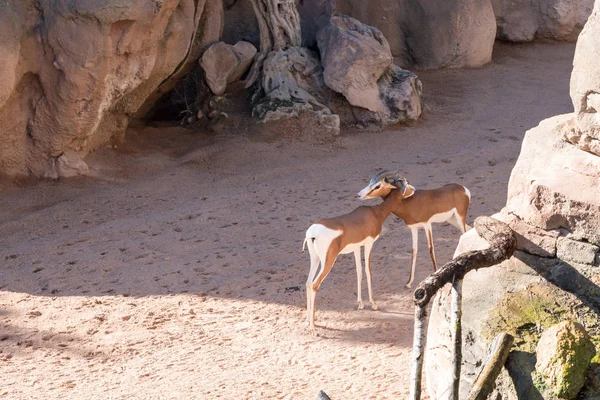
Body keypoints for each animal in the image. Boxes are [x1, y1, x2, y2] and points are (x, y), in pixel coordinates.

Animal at [302, 173, 414, 332]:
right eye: (406, 183)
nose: (413, 190)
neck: (375, 213)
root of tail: (312, 233)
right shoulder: (368, 244)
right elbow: (368, 271)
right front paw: (374, 304)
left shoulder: (356, 247)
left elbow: (359, 271)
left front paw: (361, 304)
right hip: (328, 261)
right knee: (314, 284)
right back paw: (313, 326)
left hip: (315, 259)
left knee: (307, 283)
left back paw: (307, 320)